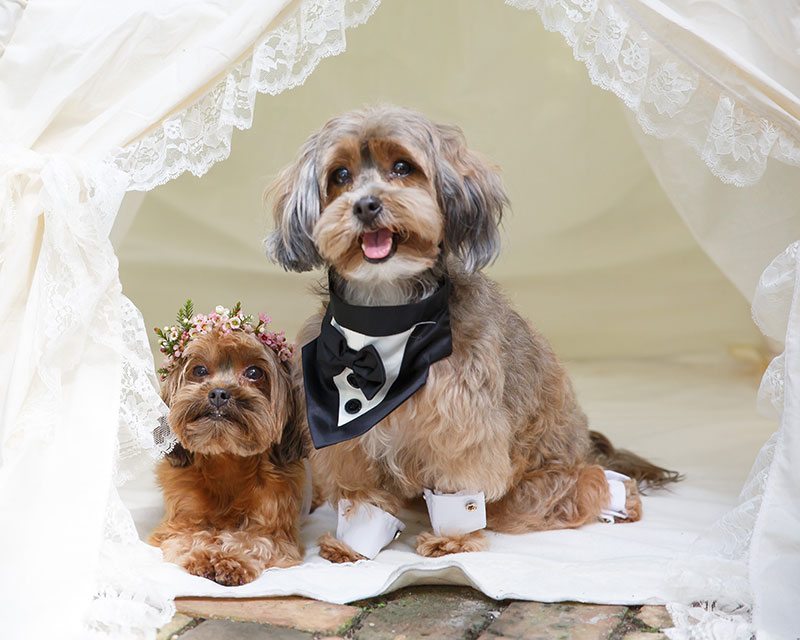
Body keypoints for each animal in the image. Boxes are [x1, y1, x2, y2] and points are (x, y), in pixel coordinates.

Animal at [147, 304, 306, 584]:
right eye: (199, 370)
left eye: (254, 372)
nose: (219, 393)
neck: (227, 461)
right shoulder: (175, 524)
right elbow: (190, 536)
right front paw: (202, 555)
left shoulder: (280, 534)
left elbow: (255, 541)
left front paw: (232, 559)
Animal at [266, 105, 680, 560]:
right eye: (340, 175)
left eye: (402, 167)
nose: (366, 205)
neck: (385, 319)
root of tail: (585, 445)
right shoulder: (350, 441)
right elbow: (361, 497)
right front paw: (352, 546)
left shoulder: (460, 426)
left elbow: (459, 489)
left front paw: (452, 541)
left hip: (538, 487)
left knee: (584, 486)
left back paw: (619, 497)